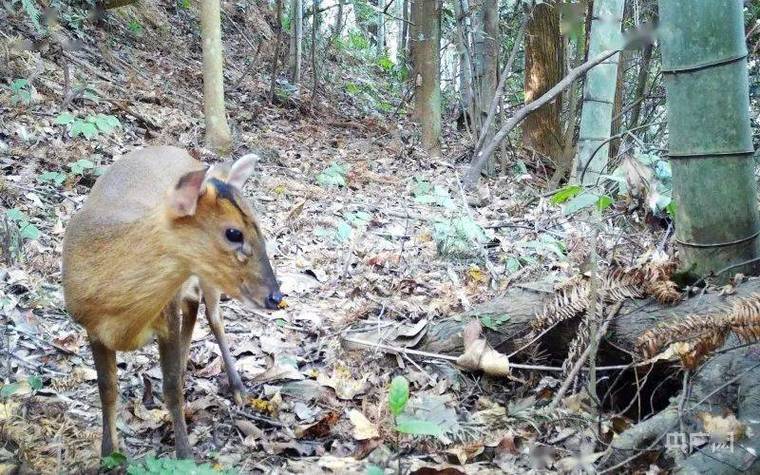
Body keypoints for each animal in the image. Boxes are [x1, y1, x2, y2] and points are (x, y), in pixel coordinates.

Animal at [61, 146, 282, 462]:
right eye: (234, 233)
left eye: (259, 226)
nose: (276, 296)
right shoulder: (90, 327)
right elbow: (107, 389)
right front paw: (107, 453)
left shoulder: (166, 316)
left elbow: (171, 388)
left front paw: (185, 454)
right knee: (193, 307)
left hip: (206, 279)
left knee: (213, 317)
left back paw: (238, 388)